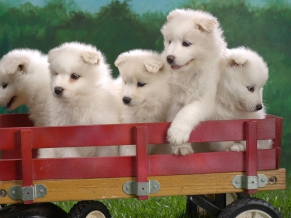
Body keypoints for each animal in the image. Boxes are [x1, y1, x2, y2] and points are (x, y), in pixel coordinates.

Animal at [162, 8, 228, 155]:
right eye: (169, 42)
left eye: (186, 43)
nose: (169, 58)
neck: (189, 73)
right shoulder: (175, 99)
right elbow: (175, 115)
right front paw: (181, 147)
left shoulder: (204, 99)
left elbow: (187, 112)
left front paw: (177, 134)